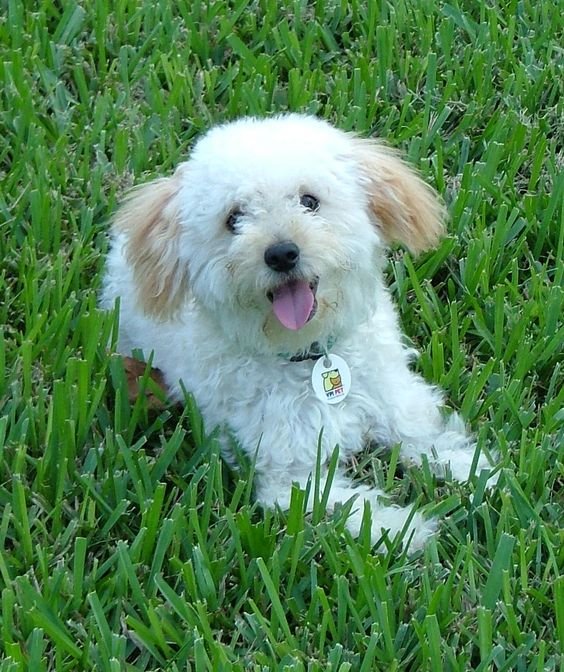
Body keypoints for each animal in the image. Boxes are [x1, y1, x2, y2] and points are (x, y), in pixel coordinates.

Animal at [100, 113, 494, 548]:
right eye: (233, 219)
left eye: (309, 201)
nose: (282, 253)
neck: (312, 355)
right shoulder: (291, 475)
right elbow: (351, 507)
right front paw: (404, 530)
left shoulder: (393, 396)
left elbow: (421, 435)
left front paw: (470, 466)